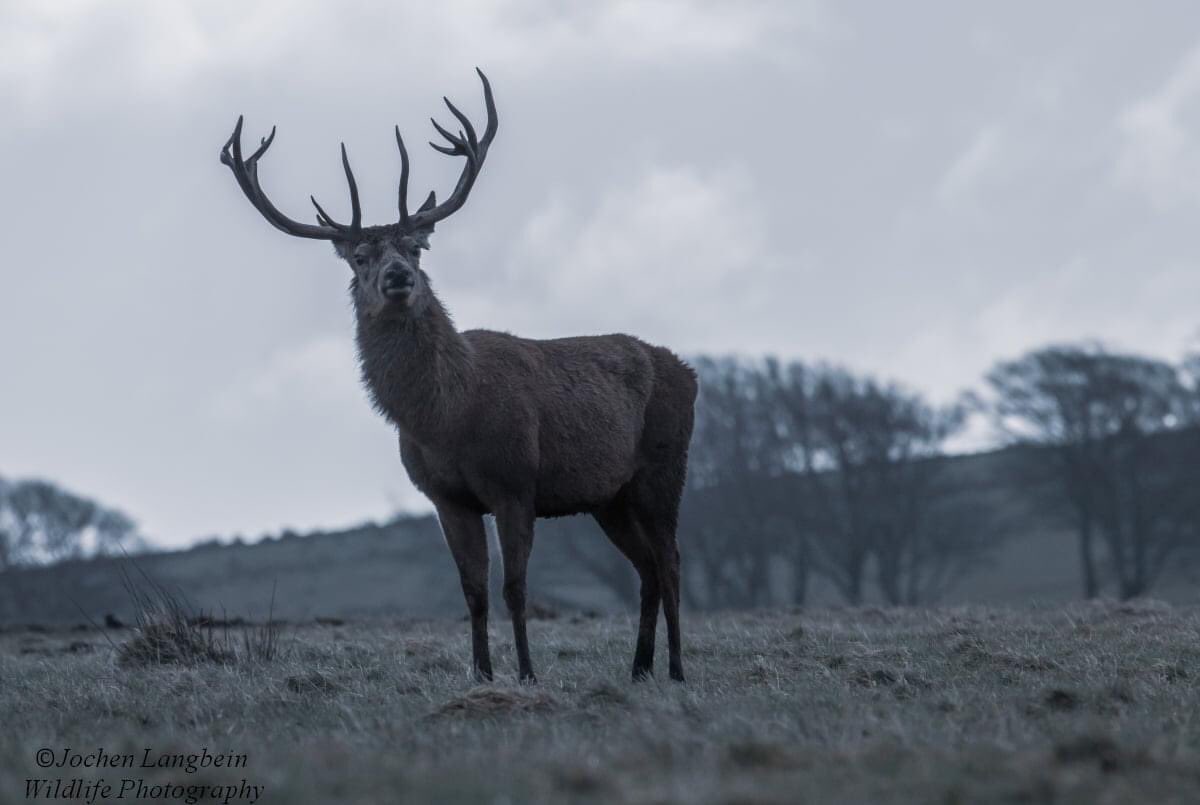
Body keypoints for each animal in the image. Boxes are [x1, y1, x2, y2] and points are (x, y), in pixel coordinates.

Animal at [219, 70, 696, 683]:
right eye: (360, 257)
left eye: (416, 248)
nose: (399, 277)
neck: (450, 416)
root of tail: (689, 372)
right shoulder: (446, 498)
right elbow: (473, 592)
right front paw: (482, 674)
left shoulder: (516, 482)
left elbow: (515, 588)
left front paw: (526, 674)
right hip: (609, 495)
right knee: (647, 569)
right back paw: (638, 670)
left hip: (663, 465)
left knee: (672, 560)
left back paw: (677, 669)